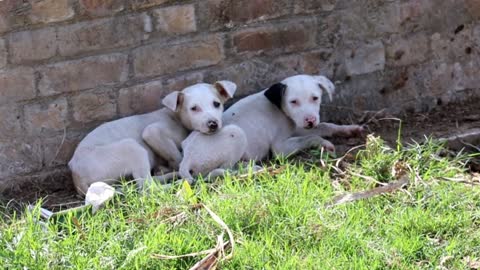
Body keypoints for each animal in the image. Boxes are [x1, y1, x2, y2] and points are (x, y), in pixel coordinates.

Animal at [68, 80, 237, 194]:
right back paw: (172, 182)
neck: (175, 116)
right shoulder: (152, 132)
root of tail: (77, 176)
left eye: (217, 104)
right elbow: (177, 157)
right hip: (131, 147)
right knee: (146, 185)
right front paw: (177, 166)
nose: (213, 124)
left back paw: (165, 174)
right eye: (194, 108)